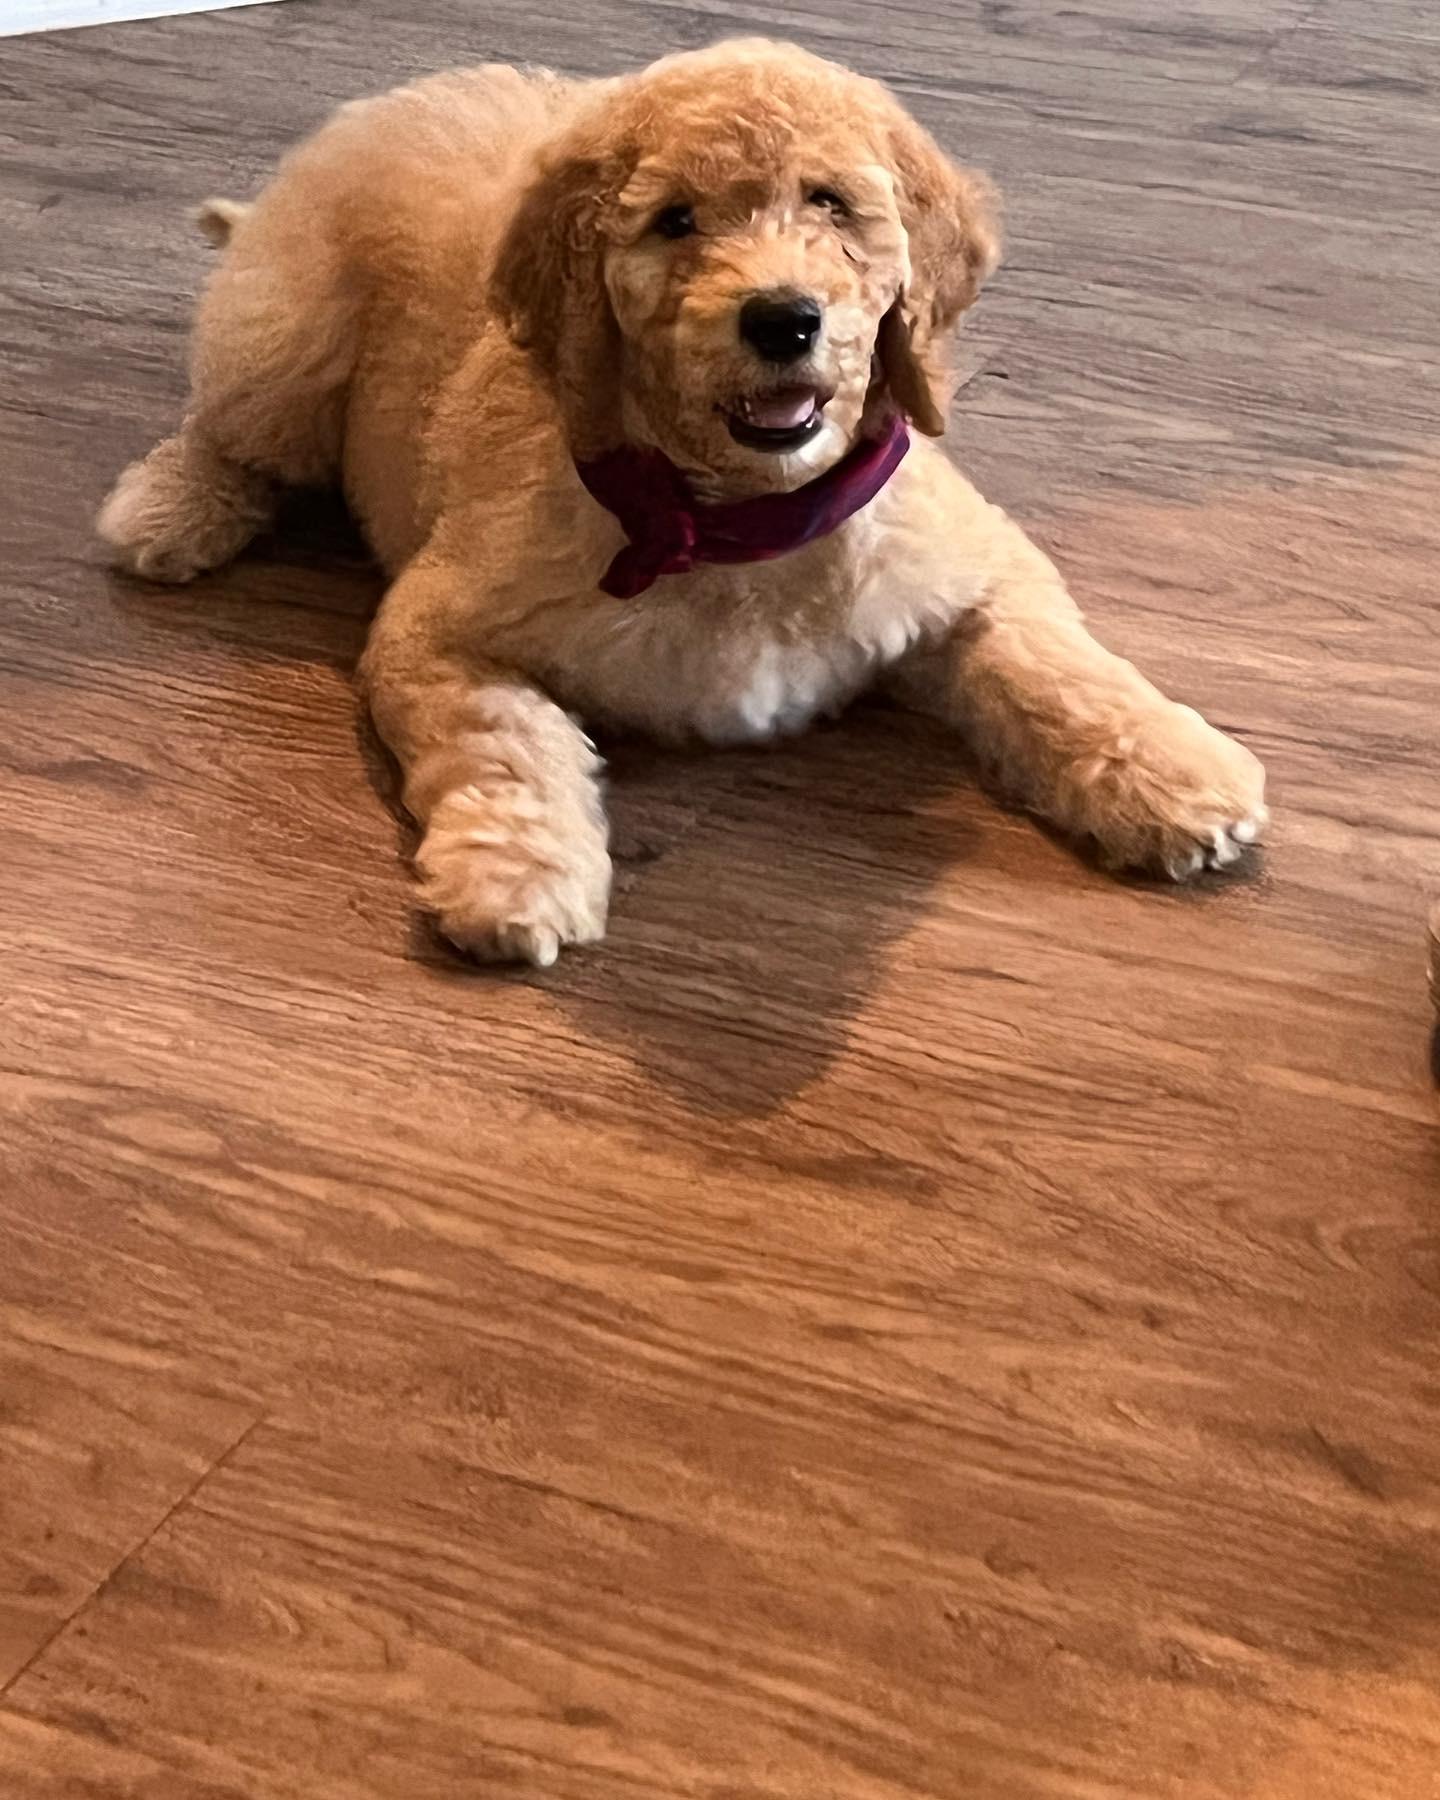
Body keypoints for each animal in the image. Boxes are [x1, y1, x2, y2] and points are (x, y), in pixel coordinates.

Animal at [99, 39, 1267, 965]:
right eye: (674, 222)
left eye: (831, 203)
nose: (784, 318)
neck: (737, 524)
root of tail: (387, 100)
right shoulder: (434, 626)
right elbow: (502, 737)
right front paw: (518, 873)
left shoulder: (977, 561)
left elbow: (1057, 667)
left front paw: (1176, 775)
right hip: (289, 337)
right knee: (229, 426)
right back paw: (169, 508)